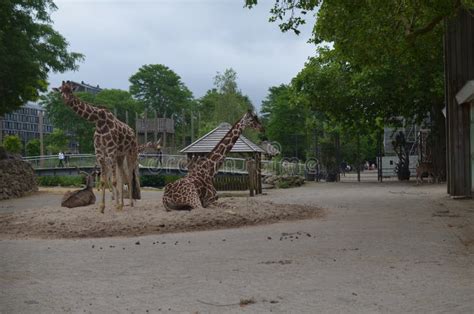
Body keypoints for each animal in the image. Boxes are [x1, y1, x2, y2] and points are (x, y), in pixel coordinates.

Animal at [56, 81, 140, 213]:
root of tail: (132, 131)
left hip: (131, 153)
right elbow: (103, 181)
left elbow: (114, 181)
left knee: (130, 176)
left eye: (70, 90)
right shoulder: (100, 153)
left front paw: (116, 206)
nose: (66, 99)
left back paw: (130, 203)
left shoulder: (110, 151)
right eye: (61, 90)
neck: (99, 121)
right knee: (122, 176)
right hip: (120, 155)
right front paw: (102, 207)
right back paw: (122, 204)